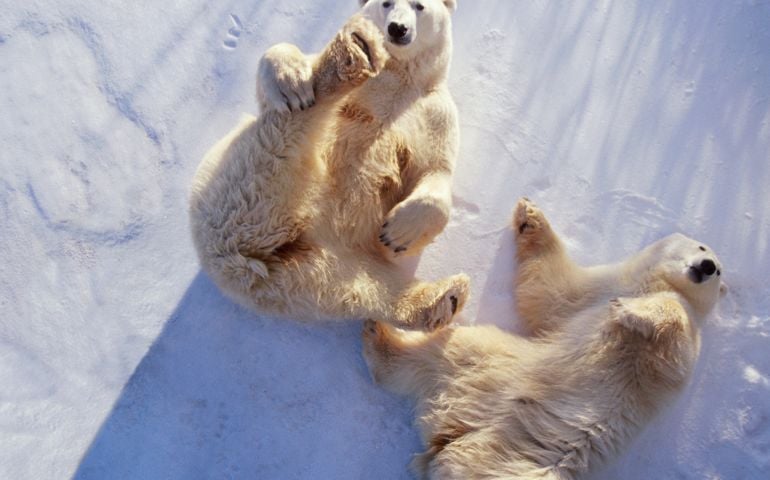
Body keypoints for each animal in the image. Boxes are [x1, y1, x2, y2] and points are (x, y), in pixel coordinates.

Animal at [189, 1, 468, 330]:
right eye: (385, 3)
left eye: (419, 6)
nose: (397, 29)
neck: (399, 75)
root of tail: (239, 267)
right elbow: (275, 76)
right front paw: (290, 81)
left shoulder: (434, 111)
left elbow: (436, 169)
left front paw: (399, 233)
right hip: (239, 183)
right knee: (284, 134)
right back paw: (355, 52)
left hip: (323, 270)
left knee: (368, 288)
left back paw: (444, 298)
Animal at [362, 198, 726, 479]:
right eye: (701, 246)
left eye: (719, 270)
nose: (707, 265)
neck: (648, 284)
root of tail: (450, 437)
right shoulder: (596, 291)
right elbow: (551, 291)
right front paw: (529, 215)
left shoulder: (677, 356)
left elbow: (674, 327)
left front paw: (627, 311)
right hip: (493, 375)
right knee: (443, 352)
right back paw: (378, 334)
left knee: (451, 349)